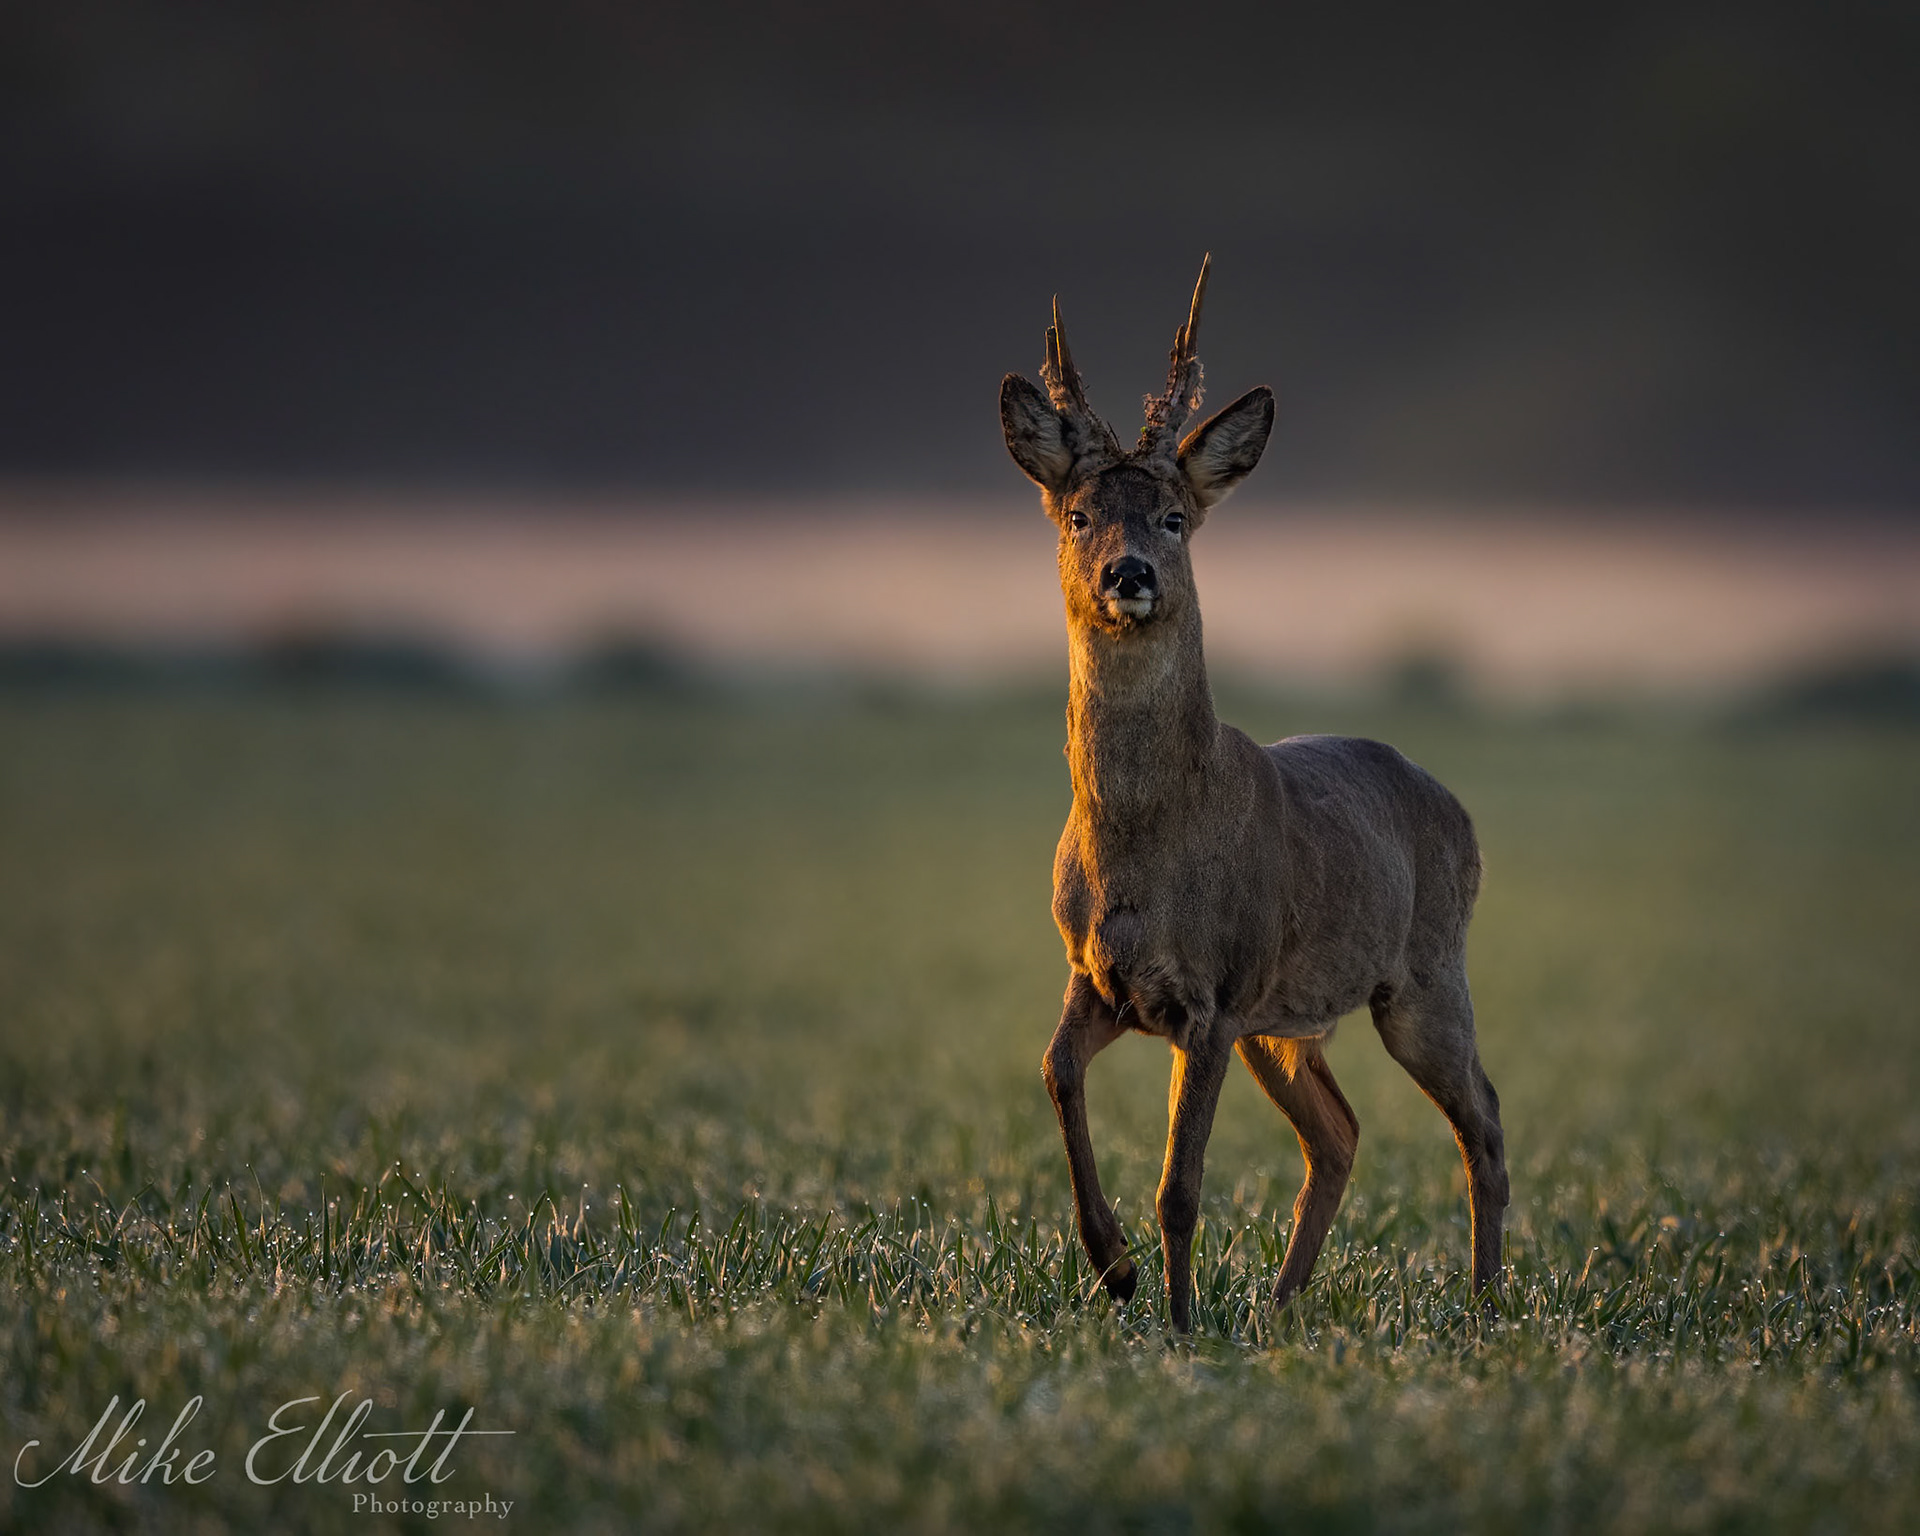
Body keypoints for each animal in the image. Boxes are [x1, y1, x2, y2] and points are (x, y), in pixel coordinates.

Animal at [999, 256, 1509, 1334]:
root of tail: (1453, 804)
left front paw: (1179, 1321)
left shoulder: (1216, 993)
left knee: (1481, 1118)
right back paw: (1281, 1301)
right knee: (1340, 1132)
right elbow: (1055, 1073)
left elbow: (1180, 1185)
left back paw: (1487, 1303)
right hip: (1287, 1022)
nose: (1130, 573)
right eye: (1078, 515)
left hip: (1424, 974)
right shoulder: (1097, 975)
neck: (1141, 847)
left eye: (1174, 517)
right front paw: (1113, 1268)